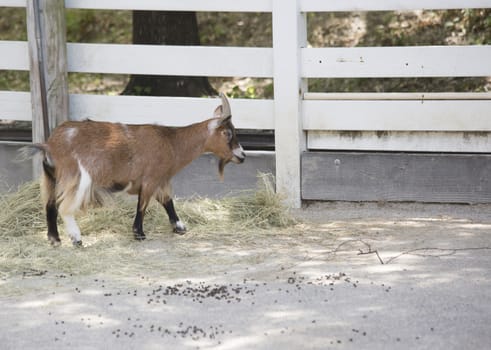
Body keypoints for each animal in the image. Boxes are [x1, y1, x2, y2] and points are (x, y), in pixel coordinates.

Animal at [31, 93, 246, 246]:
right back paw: (76, 238)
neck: (172, 142)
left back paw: (54, 239)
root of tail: (50, 145)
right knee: (64, 207)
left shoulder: (160, 181)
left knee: (50, 205)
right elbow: (142, 205)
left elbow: (167, 202)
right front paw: (139, 233)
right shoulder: (150, 179)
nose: (242, 155)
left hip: (52, 178)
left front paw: (179, 227)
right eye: (228, 133)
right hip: (78, 178)